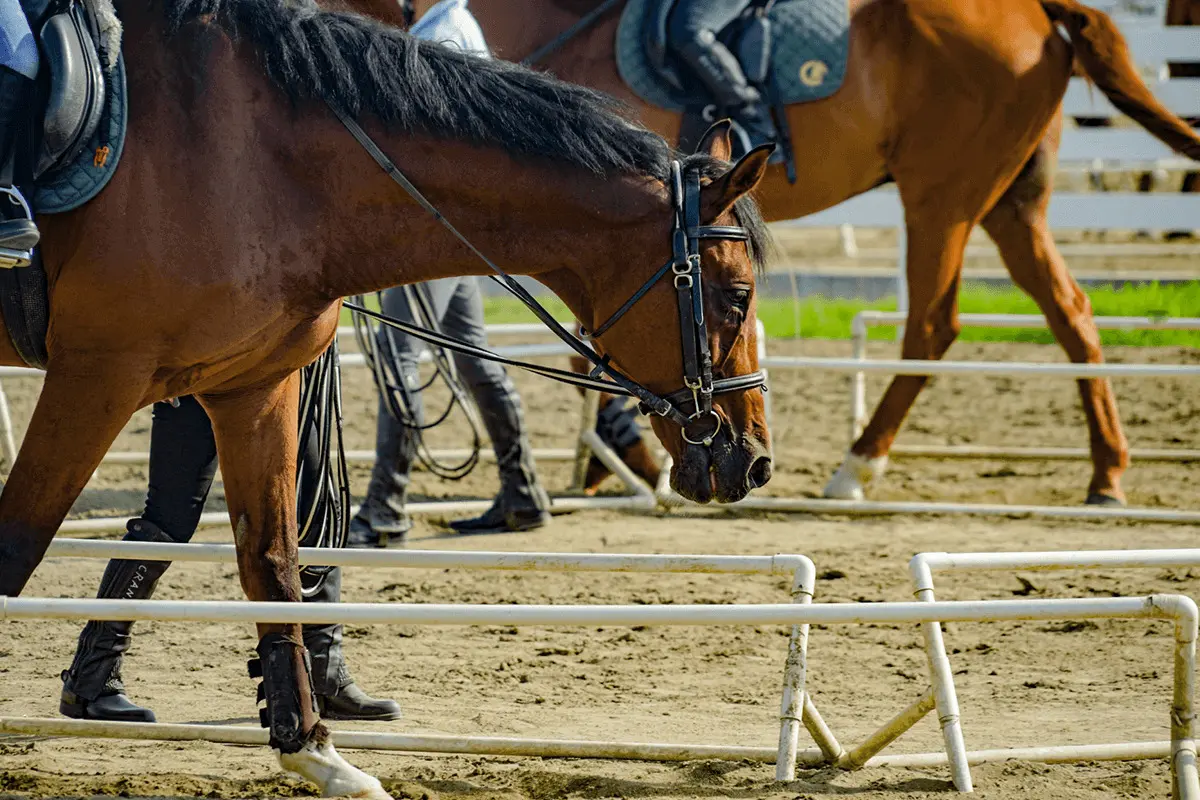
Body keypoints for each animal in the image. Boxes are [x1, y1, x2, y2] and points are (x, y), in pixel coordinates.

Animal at [0, 0, 774, 792]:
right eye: (738, 296)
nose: (753, 460)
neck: (255, 161)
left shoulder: (249, 386)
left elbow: (273, 561)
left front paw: (318, 752)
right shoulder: (100, 377)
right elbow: (17, 547)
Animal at [419, 0, 1200, 506]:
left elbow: (597, 341)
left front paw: (622, 453)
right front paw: (612, 457)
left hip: (942, 196)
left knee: (933, 324)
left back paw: (857, 466)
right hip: (1011, 201)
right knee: (1070, 310)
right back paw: (1107, 474)